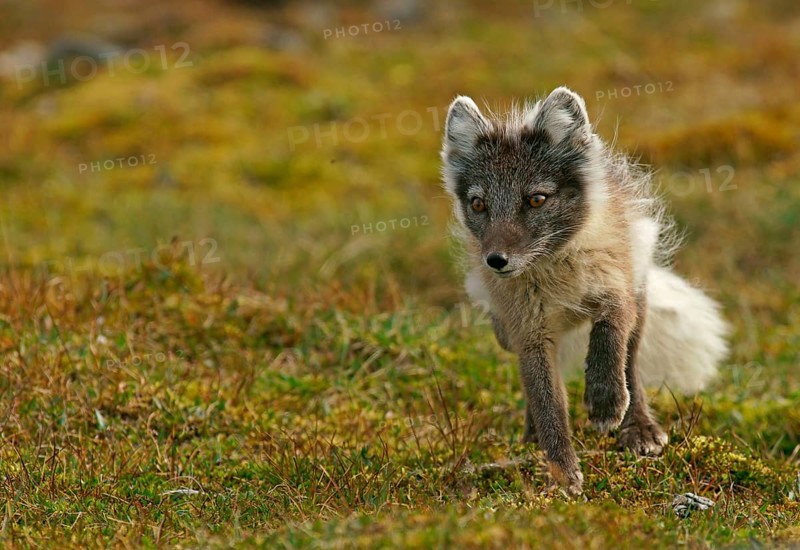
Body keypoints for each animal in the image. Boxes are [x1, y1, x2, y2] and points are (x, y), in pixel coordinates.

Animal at [441, 87, 729, 495]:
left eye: (536, 199)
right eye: (478, 204)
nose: (495, 261)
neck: (554, 269)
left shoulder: (616, 290)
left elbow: (609, 339)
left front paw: (605, 403)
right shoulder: (529, 333)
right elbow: (547, 400)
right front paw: (562, 472)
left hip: (640, 296)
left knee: (631, 362)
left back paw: (637, 426)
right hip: (506, 334)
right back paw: (531, 436)